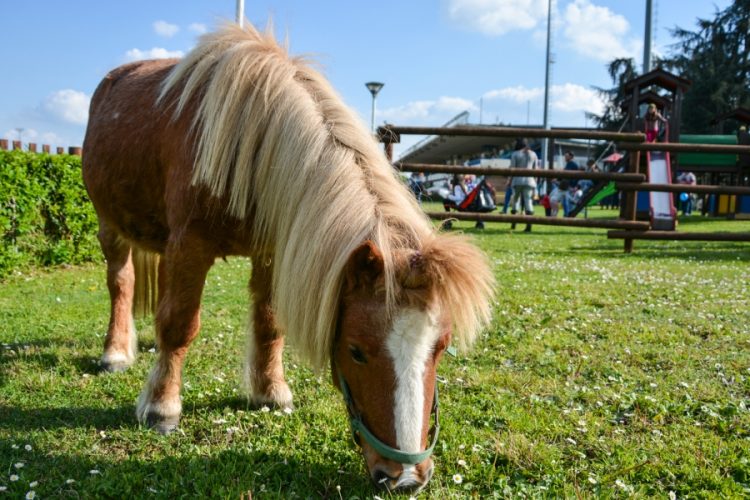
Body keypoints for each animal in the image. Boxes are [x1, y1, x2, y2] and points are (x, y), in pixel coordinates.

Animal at [82, 21, 496, 490]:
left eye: (440, 348)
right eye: (355, 350)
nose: (406, 477)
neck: (250, 138)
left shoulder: (269, 250)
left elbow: (268, 324)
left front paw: (269, 391)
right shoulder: (190, 245)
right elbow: (181, 324)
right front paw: (161, 407)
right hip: (110, 227)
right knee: (122, 284)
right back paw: (116, 352)